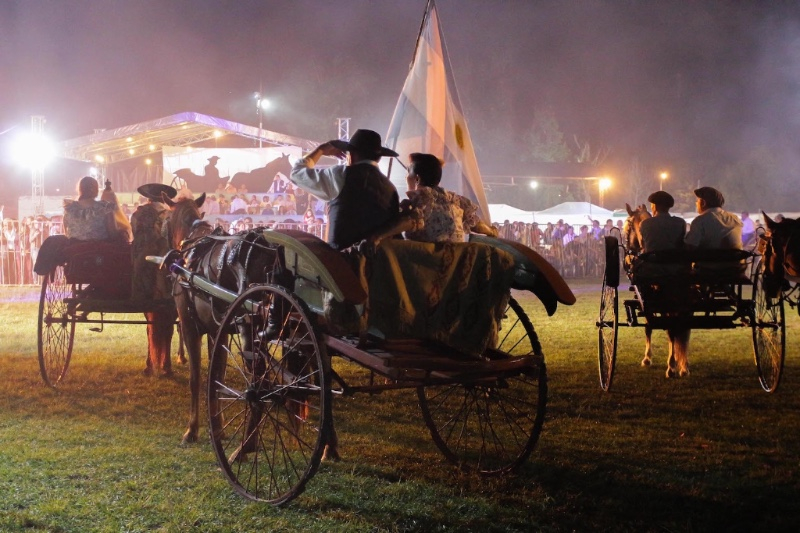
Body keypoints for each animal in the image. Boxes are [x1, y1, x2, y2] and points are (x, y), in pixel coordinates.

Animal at [620, 202, 692, 376]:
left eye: (626, 227)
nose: (628, 256)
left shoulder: (646, 301)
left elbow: (649, 327)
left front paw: (647, 358)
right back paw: (683, 366)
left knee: (671, 329)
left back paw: (671, 366)